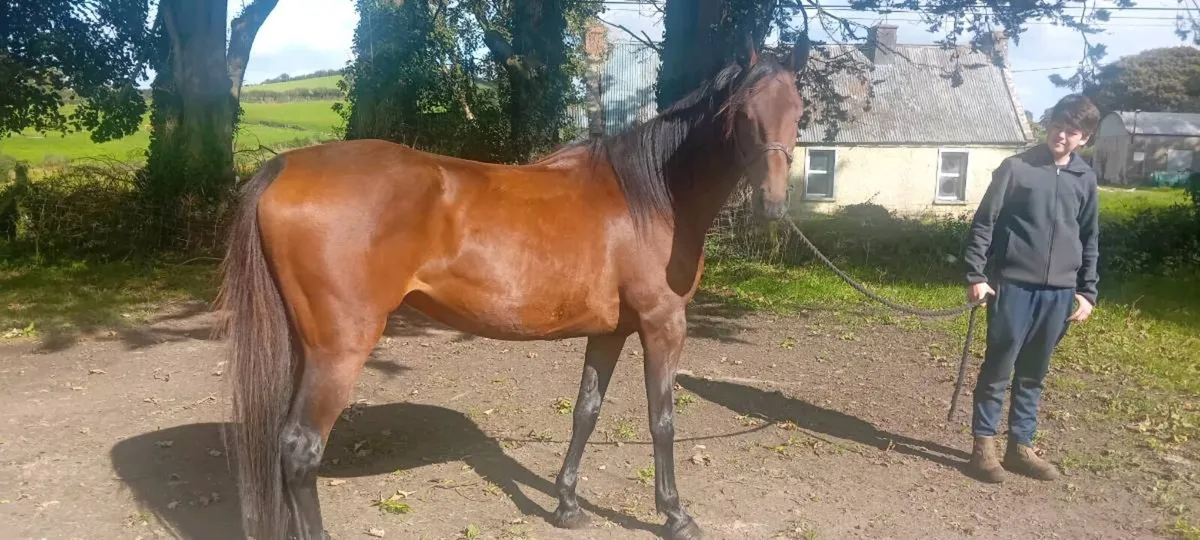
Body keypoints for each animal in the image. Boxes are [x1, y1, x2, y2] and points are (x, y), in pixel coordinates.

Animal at [214, 36, 811, 540]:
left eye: (798, 111)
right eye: (742, 113)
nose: (772, 206)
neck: (652, 197)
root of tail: (285, 166)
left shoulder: (611, 331)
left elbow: (586, 410)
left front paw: (567, 505)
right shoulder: (663, 325)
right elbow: (661, 420)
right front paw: (676, 515)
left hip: (305, 346)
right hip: (339, 350)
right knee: (300, 448)